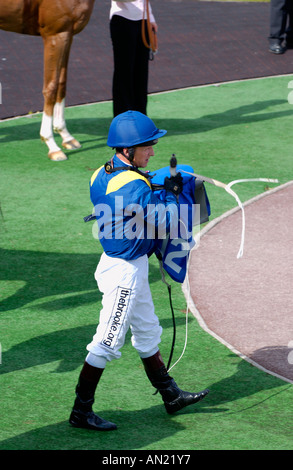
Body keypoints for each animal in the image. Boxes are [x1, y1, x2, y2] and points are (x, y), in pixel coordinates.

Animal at [0, 0, 94, 162]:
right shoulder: (54, 36)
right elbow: (51, 87)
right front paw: (52, 145)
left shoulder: (67, 35)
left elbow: (61, 84)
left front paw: (66, 137)